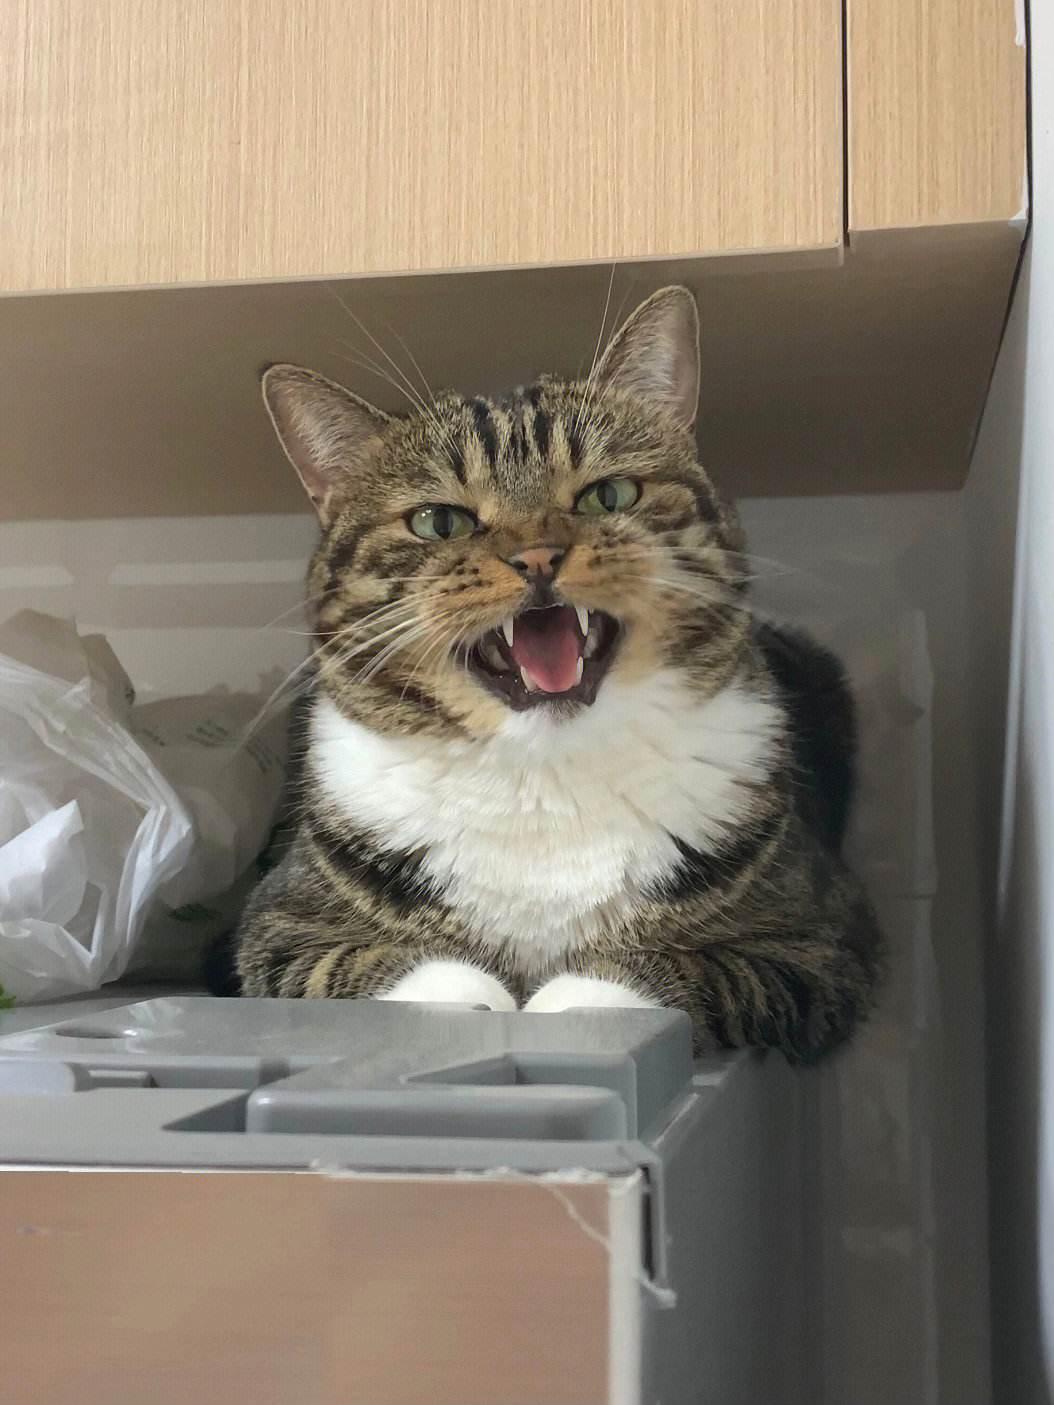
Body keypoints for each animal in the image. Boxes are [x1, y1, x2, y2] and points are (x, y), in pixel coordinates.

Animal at [232, 287, 882, 1061]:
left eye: (609, 495)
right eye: (439, 522)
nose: (538, 556)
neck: (543, 775)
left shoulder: (820, 941)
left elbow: (702, 971)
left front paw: (569, 1004)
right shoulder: (275, 925)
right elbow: (353, 969)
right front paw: (473, 999)